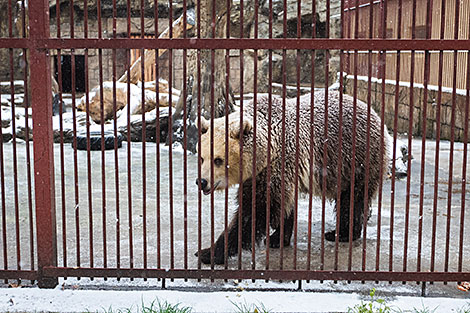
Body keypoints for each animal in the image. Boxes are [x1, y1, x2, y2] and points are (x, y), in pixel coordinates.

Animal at [195, 90, 390, 264]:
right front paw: (277, 238)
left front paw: (208, 252)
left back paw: (341, 233)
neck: (266, 149)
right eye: (202, 158)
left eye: (218, 160)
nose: (201, 182)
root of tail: (374, 114)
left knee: (353, 198)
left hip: (356, 158)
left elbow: (256, 210)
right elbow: (283, 205)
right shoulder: (263, 173)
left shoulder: (279, 163)